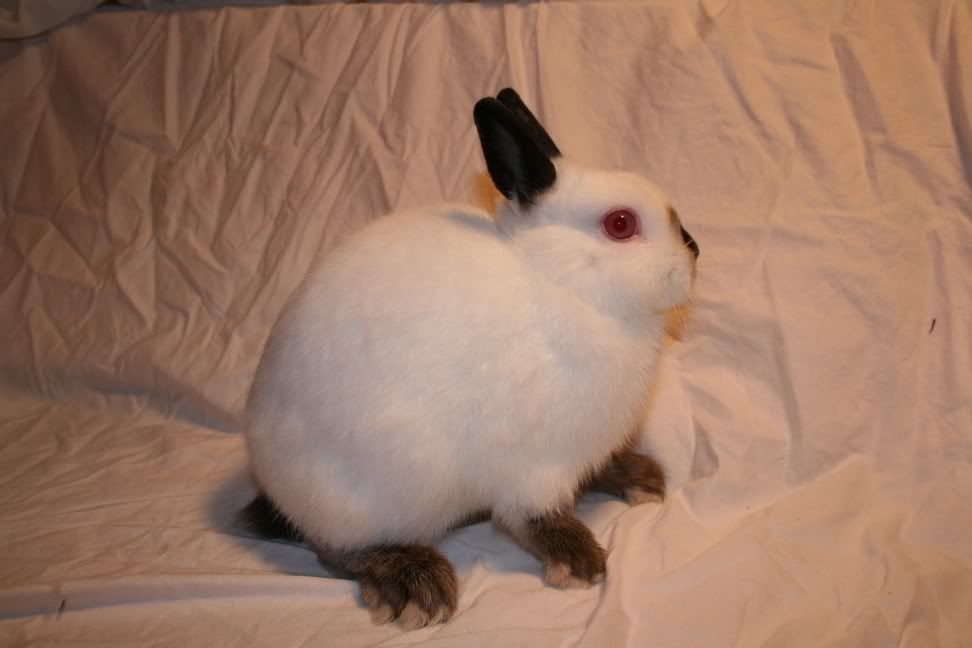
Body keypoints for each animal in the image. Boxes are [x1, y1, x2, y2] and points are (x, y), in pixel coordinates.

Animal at [238, 88, 700, 630]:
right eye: (621, 224)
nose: (694, 254)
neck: (563, 282)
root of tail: (273, 482)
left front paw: (640, 478)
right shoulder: (536, 468)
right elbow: (535, 519)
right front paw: (581, 561)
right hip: (372, 491)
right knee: (335, 547)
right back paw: (415, 583)